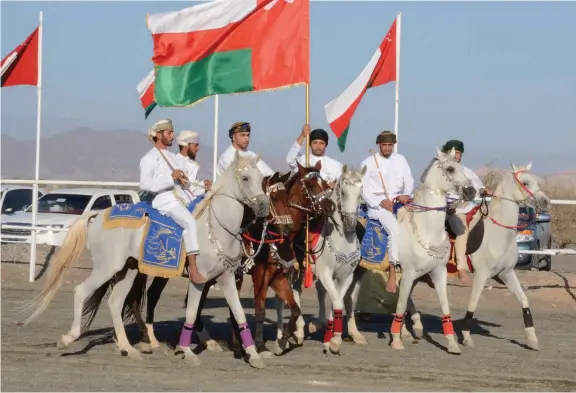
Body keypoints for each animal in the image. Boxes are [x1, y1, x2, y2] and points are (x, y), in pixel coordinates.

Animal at [23, 152, 272, 368]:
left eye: (261, 178)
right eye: (245, 177)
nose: (263, 207)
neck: (216, 228)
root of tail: (97, 216)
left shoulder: (226, 278)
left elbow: (239, 313)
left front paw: (253, 355)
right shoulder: (198, 280)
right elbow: (192, 313)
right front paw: (187, 351)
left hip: (128, 270)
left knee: (115, 303)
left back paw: (128, 348)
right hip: (106, 268)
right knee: (81, 291)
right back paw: (68, 339)